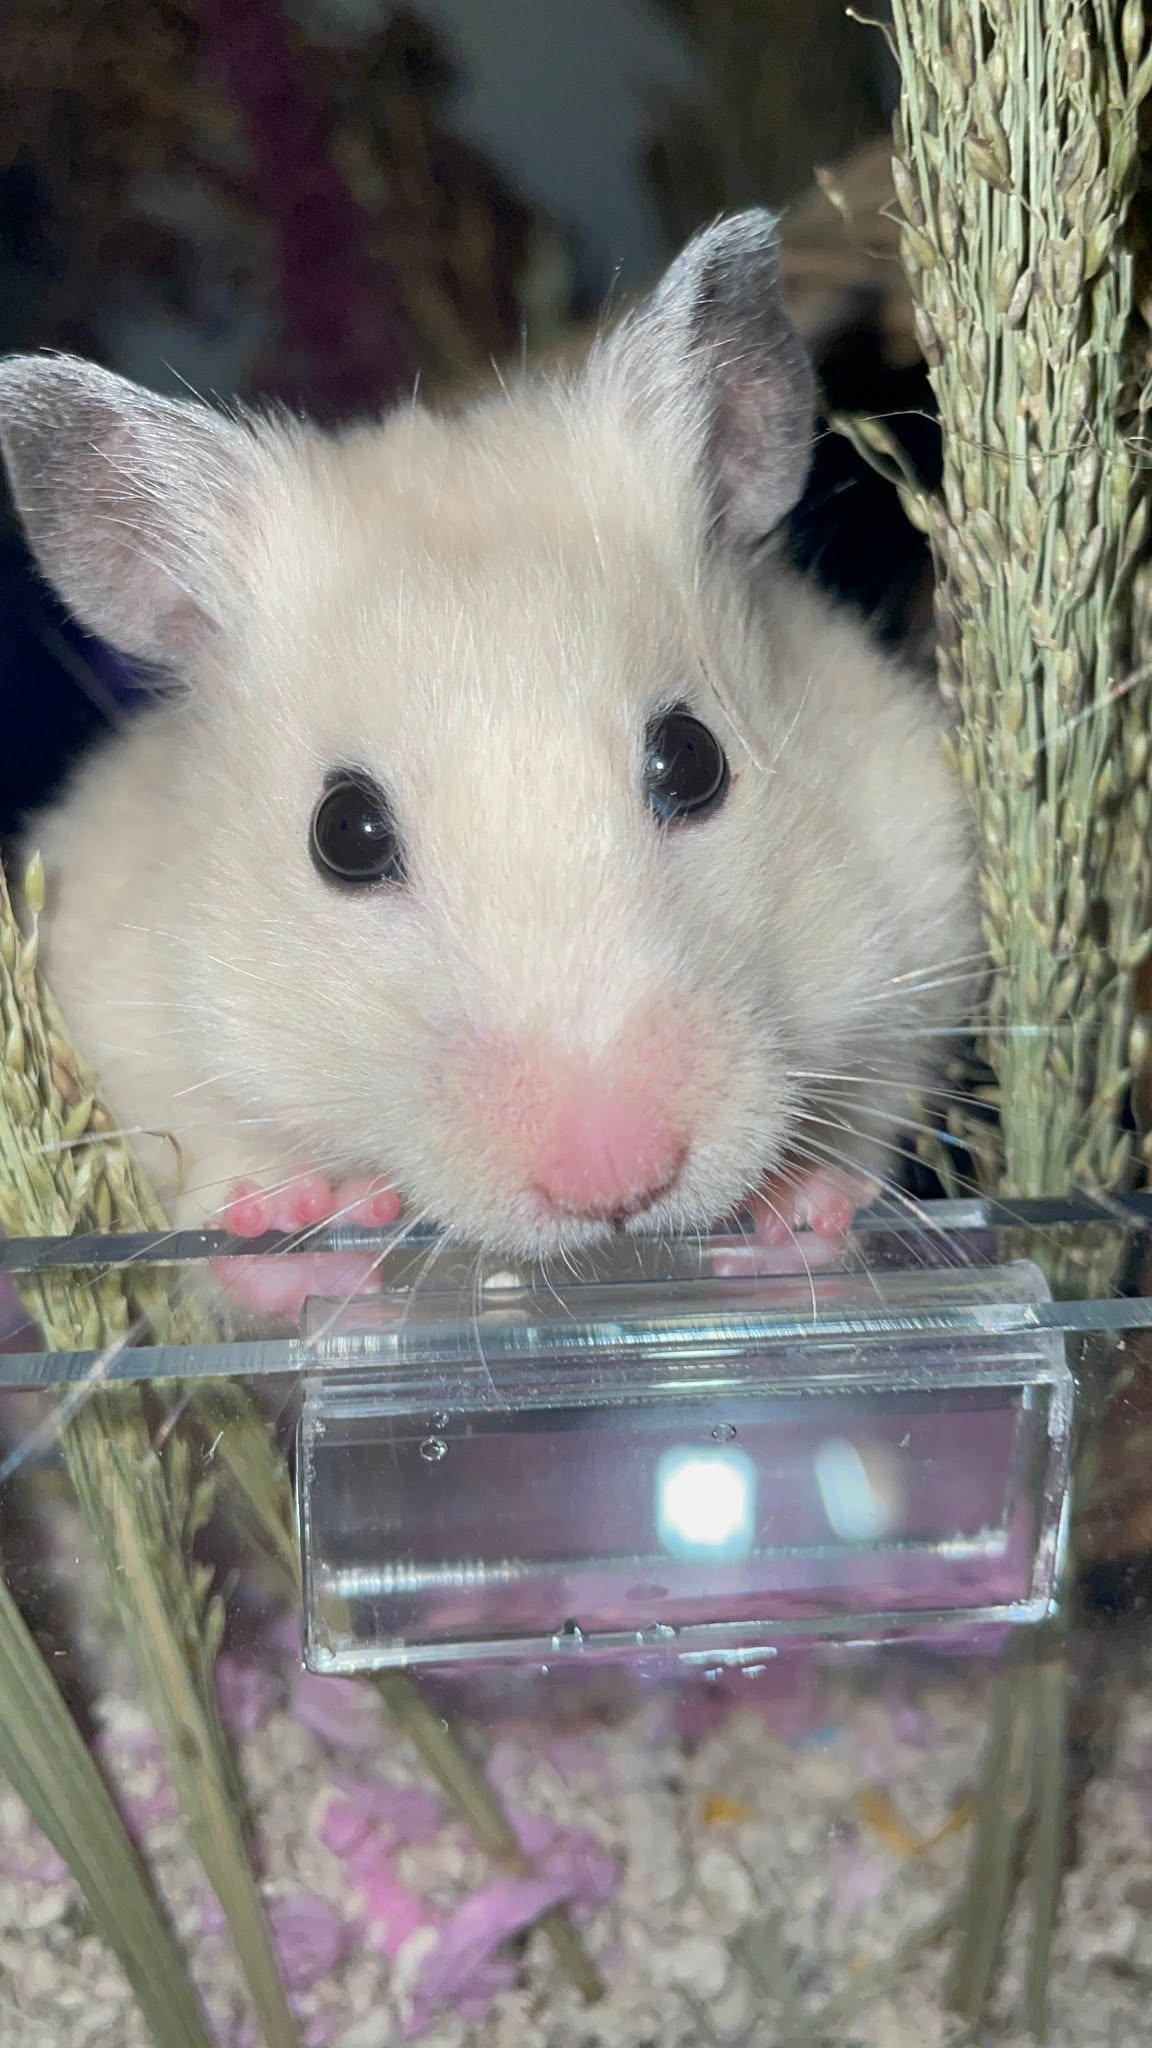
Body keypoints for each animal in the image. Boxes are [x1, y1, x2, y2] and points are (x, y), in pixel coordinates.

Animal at [0, 211, 974, 1314]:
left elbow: (876, 1104)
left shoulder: (926, 905)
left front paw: (798, 1208)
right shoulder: (122, 1010)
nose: (616, 1182)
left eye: (693, 760)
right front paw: (307, 1217)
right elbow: (207, 1206)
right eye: (344, 834)